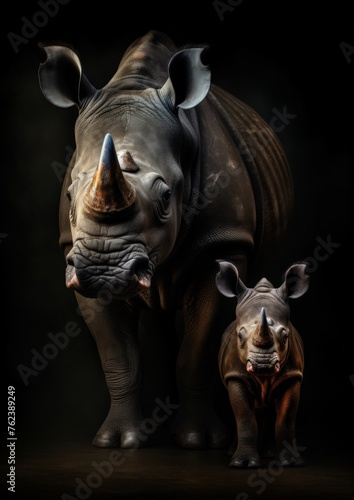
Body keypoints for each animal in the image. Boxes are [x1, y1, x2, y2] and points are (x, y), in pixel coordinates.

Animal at [213, 262, 310, 468]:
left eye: (285, 336)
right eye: (239, 336)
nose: (262, 364)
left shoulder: (292, 376)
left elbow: (286, 419)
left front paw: (290, 463)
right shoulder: (235, 375)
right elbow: (244, 418)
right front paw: (242, 463)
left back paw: (269, 454)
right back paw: (232, 453)